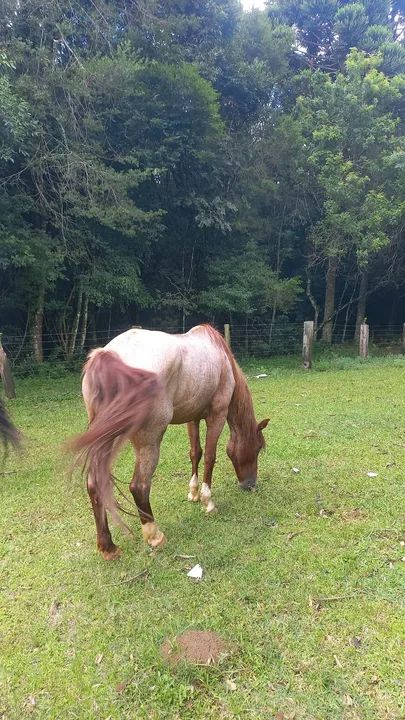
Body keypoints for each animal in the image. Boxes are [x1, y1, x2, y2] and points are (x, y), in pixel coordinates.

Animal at [70, 325, 269, 560]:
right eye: (257, 449)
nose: (250, 485)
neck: (221, 359)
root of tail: (109, 355)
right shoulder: (217, 415)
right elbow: (210, 457)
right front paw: (208, 502)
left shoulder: (193, 417)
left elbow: (195, 453)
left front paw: (193, 493)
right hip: (149, 441)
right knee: (139, 486)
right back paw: (154, 536)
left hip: (106, 439)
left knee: (94, 484)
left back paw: (108, 547)